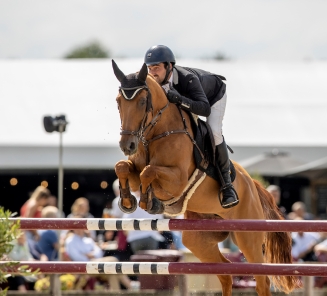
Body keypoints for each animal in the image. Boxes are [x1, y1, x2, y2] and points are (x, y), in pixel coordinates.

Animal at [112, 60, 300, 296]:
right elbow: (123, 168)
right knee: (225, 272)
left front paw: (149, 201)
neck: (157, 133)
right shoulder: (137, 172)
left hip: (248, 236)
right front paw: (128, 201)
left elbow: (149, 171)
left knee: (261, 279)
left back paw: (229, 196)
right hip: (198, 238)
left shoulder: (177, 180)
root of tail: (253, 185)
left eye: (143, 101)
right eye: (118, 101)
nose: (127, 145)